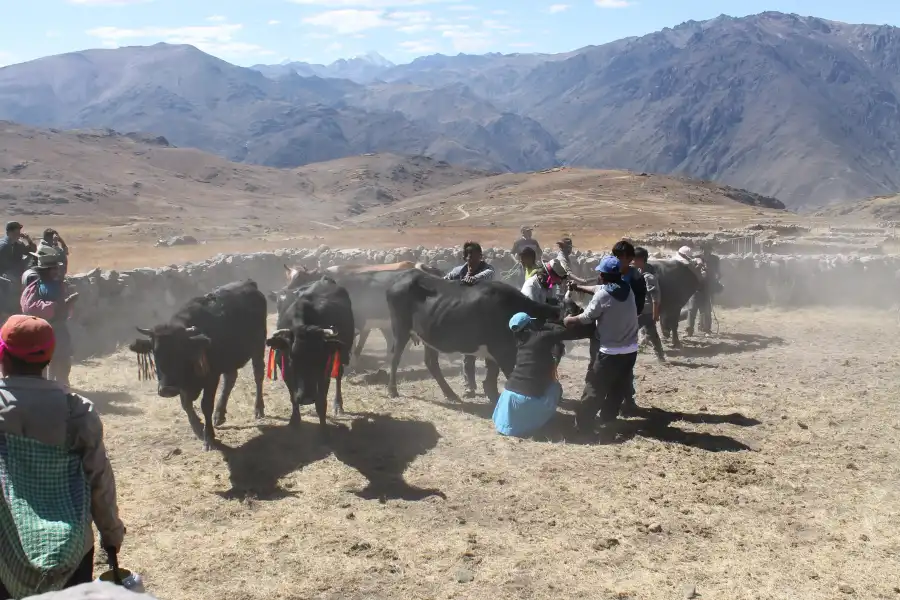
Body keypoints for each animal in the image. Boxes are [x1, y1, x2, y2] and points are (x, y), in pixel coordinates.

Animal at [128, 278, 268, 448]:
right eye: (155, 351)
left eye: (181, 349)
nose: (167, 389)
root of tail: (249, 283)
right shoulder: (183, 385)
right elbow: (185, 404)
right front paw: (197, 428)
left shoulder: (211, 377)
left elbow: (205, 405)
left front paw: (209, 437)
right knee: (230, 379)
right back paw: (219, 415)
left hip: (258, 347)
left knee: (258, 375)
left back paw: (258, 408)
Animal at [262, 276, 354, 426]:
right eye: (292, 358)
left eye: (319, 359)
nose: (307, 399)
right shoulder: (285, 370)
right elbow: (293, 397)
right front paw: (294, 421)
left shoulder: (325, 371)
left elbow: (321, 402)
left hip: (342, 355)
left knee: (338, 375)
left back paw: (338, 405)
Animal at [384, 270, 564, 404]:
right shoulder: (504, 352)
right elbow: (507, 375)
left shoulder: (496, 352)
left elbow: (491, 377)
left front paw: (494, 397)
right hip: (400, 328)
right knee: (395, 357)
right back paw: (392, 390)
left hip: (429, 335)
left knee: (431, 362)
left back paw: (450, 394)